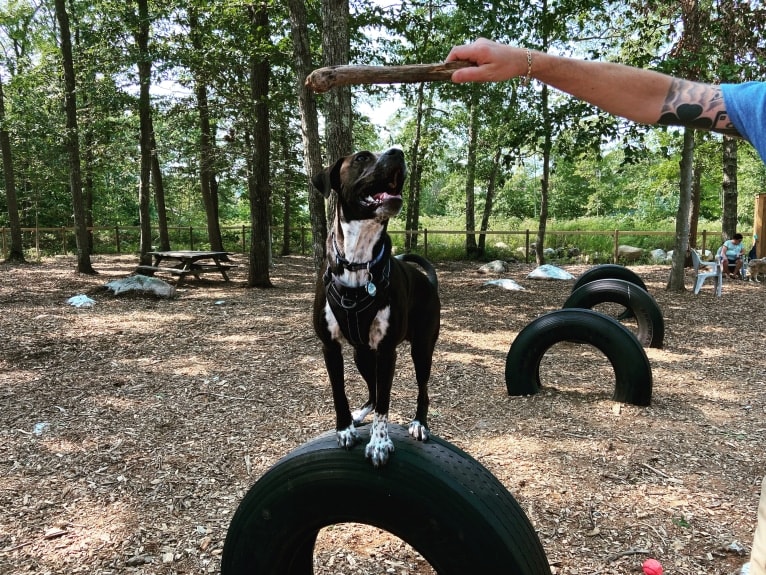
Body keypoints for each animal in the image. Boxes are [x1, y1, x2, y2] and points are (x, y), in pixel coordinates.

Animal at [312, 147, 440, 468]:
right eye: (361, 158)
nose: (398, 152)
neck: (358, 260)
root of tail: (428, 282)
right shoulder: (330, 348)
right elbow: (339, 392)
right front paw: (344, 428)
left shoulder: (387, 351)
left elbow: (385, 401)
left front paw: (380, 442)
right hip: (362, 354)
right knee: (371, 389)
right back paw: (359, 415)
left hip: (421, 349)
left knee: (421, 390)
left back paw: (420, 423)